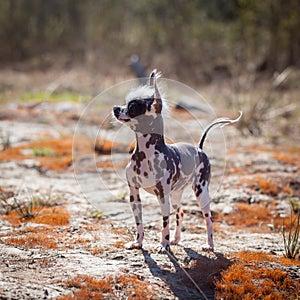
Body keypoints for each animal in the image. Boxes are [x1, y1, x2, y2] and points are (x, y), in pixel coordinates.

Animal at [112, 69, 241, 252]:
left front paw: (163, 245)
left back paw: (209, 245)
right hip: (176, 195)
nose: (115, 108)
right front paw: (138, 243)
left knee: (208, 218)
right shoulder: (134, 194)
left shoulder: (162, 196)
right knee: (180, 212)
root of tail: (199, 149)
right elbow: (139, 223)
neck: (146, 155)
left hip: (201, 192)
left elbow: (165, 223)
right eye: (125, 103)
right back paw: (176, 239)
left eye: (133, 106)